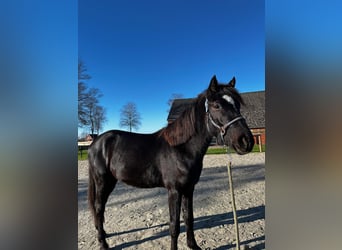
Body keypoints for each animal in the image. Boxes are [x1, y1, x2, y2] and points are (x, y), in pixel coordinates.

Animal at [88, 75, 254, 249]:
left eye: (237, 105)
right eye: (216, 105)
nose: (246, 141)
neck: (180, 149)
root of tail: (96, 143)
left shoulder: (189, 189)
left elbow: (189, 218)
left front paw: (193, 245)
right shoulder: (174, 190)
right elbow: (174, 225)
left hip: (110, 181)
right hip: (102, 181)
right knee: (99, 208)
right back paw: (103, 243)